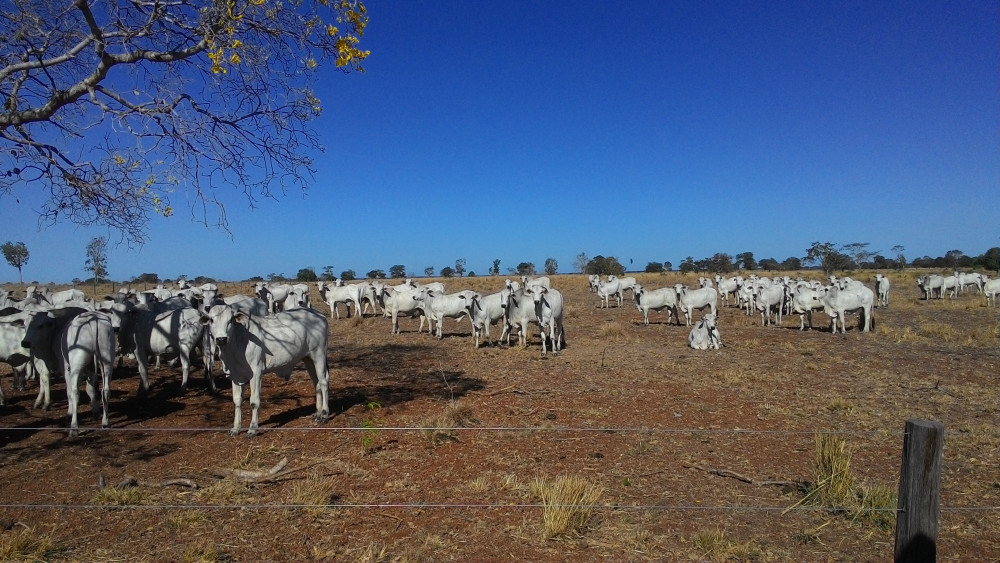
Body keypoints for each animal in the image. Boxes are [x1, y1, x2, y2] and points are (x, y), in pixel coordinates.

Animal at [201, 304, 330, 436]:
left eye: (230, 320)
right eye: (211, 320)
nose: (221, 339)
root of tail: (319, 315)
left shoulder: (256, 372)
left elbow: (254, 401)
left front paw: (253, 429)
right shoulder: (235, 375)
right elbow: (237, 401)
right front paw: (236, 428)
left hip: (319, 355)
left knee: (323, 382)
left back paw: (324, 414)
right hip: (308, 359)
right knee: (316, 383)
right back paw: (318, 413)